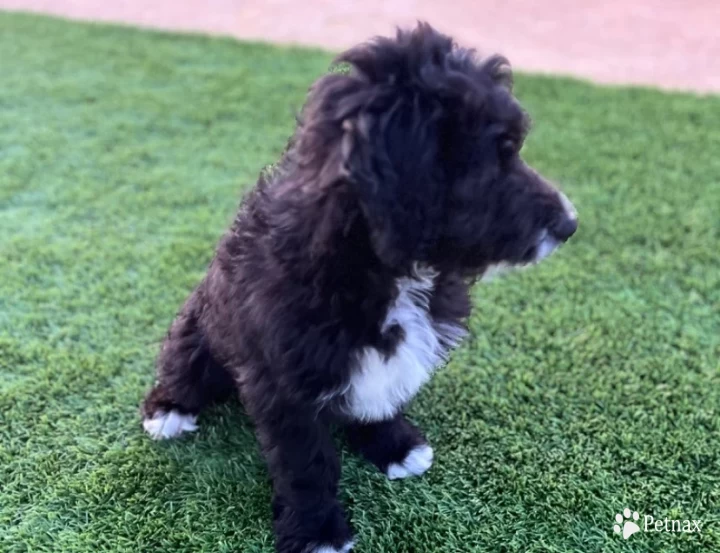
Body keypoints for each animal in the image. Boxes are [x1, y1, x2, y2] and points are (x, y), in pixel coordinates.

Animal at [141, 21, 580, 552]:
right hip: (198, 329)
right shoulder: (284, 379)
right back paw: (168, 409)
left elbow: (382, 394)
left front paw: (393, 446)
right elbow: (305, 461)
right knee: (181, 365)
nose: (571, 224)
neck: (384, 268)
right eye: (498, 155)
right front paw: (318, 530)